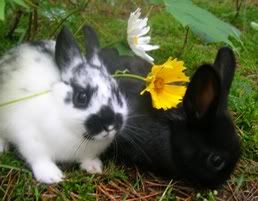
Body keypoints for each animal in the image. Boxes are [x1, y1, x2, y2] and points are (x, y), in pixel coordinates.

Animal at [0, 26, 128, 184]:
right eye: (82, 97)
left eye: (117, 92)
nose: (110, 125)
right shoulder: (30, 140)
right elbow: (39, 159)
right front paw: (52, 176)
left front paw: (94, 167)